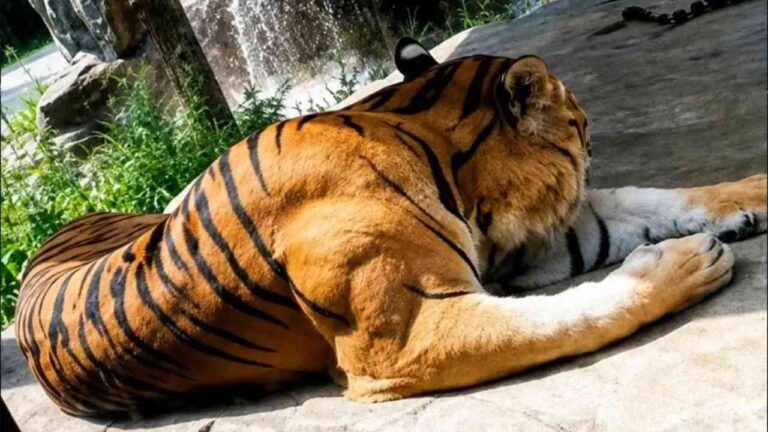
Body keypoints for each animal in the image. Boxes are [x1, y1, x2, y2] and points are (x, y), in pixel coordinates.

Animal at [15, 37, 767, 417]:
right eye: (579, 124)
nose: (592, 142)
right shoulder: (407, 335)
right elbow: (570, 315)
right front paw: (683, 264)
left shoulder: (532, 247)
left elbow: (647, 199)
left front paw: (750, 191)